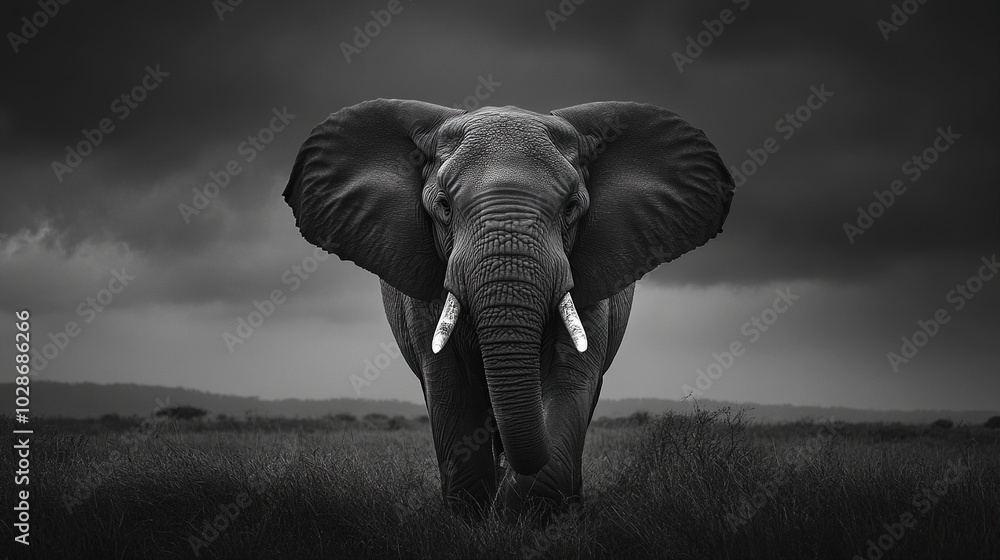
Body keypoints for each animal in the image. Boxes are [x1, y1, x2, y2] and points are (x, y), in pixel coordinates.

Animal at [283, 99, 735, 517]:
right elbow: (451, 384)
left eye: (571, 208)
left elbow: (568, 378)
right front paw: (471, 517)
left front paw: (528, 515)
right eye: (444, 206)